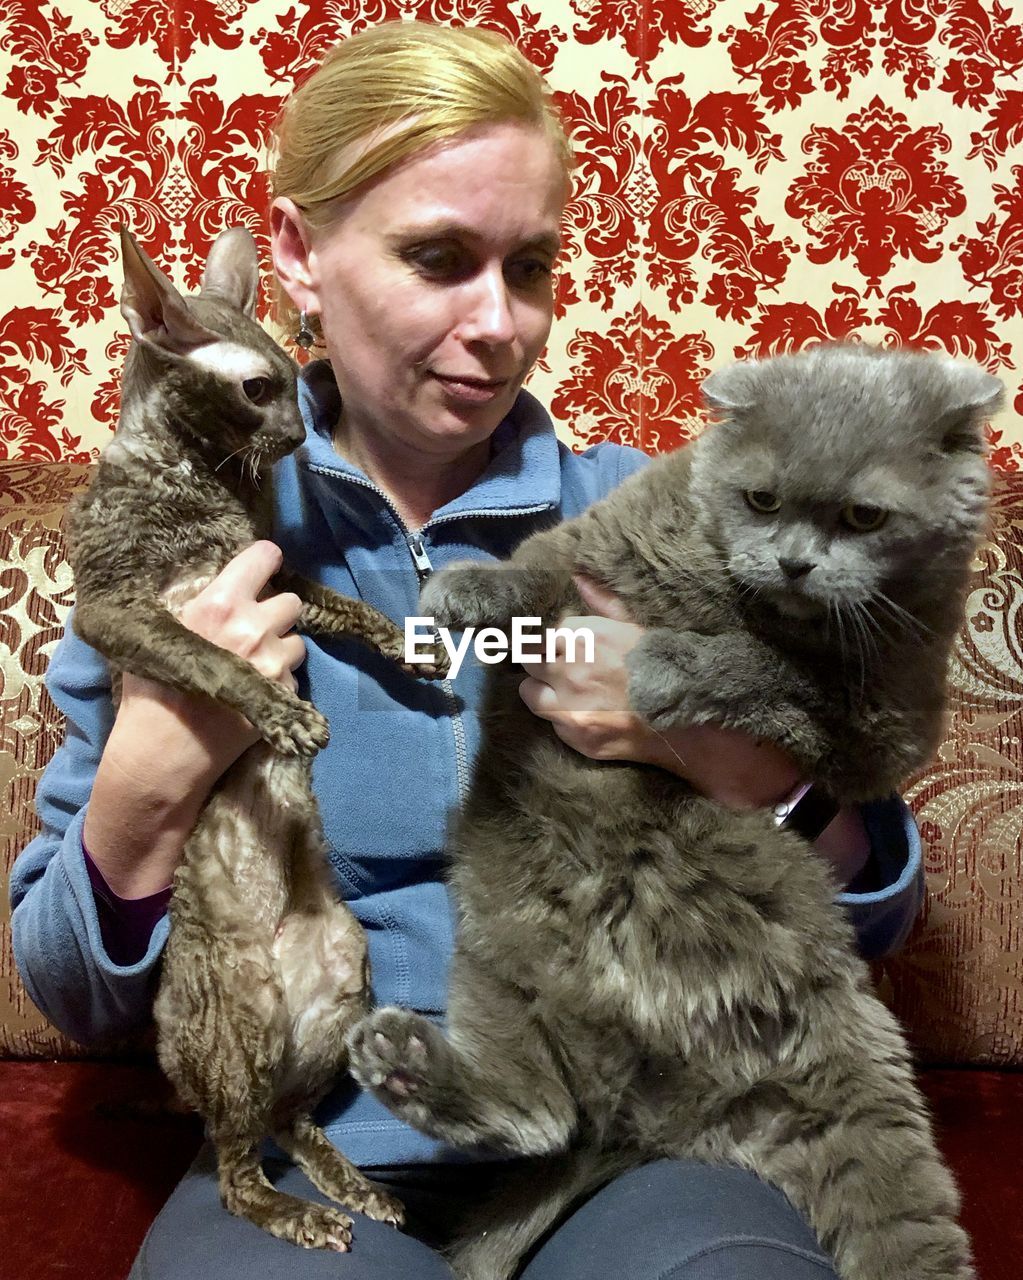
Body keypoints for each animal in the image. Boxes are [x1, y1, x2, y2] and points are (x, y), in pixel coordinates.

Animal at [66, 227, 443, 1249]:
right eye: (258, 389)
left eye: (291, 373)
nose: (298, 441)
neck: (200, 484)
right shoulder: (111, 609)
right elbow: (204, 653)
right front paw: (275, 710)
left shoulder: (277, 574)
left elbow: (344, 605)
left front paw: (410, 645)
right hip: (236, 1020)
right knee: (236, 1165)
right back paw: (293, 1212)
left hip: (346, 980)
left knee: (289, 1116)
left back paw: (351, 1185)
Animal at [343, 343, 998, 1280]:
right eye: (761, 499)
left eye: (863, 516)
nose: (794, 563)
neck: (740, 600)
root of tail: (646, 1104)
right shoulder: (597, 545)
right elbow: (537, 563)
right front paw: (469, 593)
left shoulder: (888, 722)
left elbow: (776, 674)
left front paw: (664, 669)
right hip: (496, 949)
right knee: (536, 1108)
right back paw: (406, 1061)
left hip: (861, 1075)